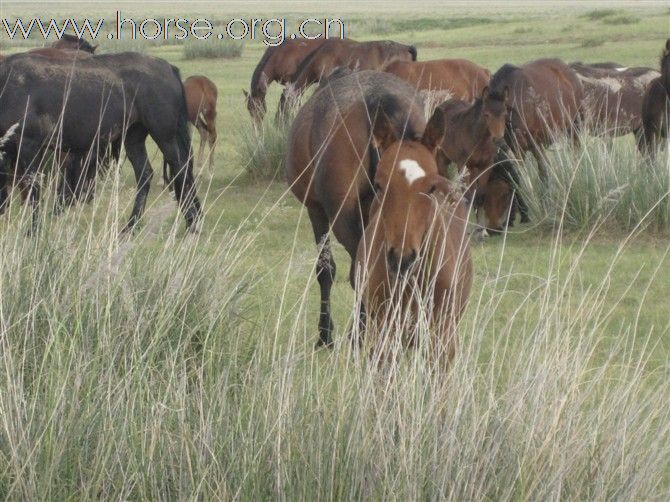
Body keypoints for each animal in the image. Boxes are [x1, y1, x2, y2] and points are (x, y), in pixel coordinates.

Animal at [0, 51, 202, 231]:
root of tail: (167, 67)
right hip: (133, 138)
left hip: (164, 136)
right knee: (145, 174)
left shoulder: (28, 144)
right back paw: (132, 225)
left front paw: (33, 230)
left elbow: (33, 188)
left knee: (181, 170)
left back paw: (191, 222)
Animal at [284, 69, 426, 346]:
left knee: (360, 270)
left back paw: (357, 334)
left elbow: (325, 269)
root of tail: (377, 100)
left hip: (342, 214)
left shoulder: (317, 210)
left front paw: (326, 333)